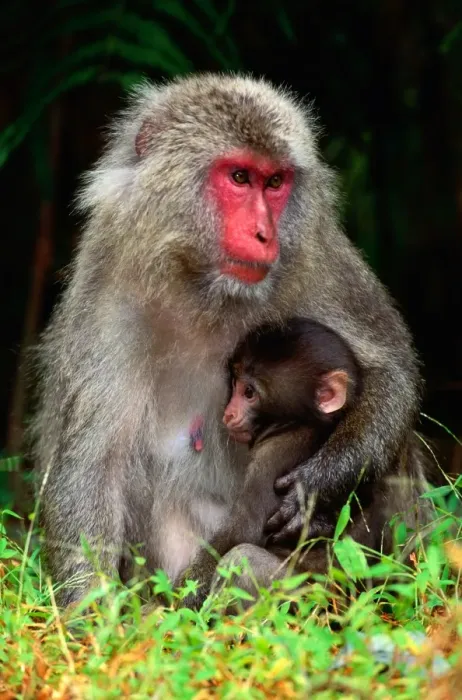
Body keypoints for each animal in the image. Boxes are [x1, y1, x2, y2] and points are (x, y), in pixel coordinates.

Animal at [32, 73, 429, 606]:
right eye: (239, 177)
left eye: (275, 182)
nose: (264, 234)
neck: (203, 286)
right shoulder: (108, 291)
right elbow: (96, 460)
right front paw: (92, 613)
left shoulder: (314, 253)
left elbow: (390, 374)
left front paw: (321, 486)